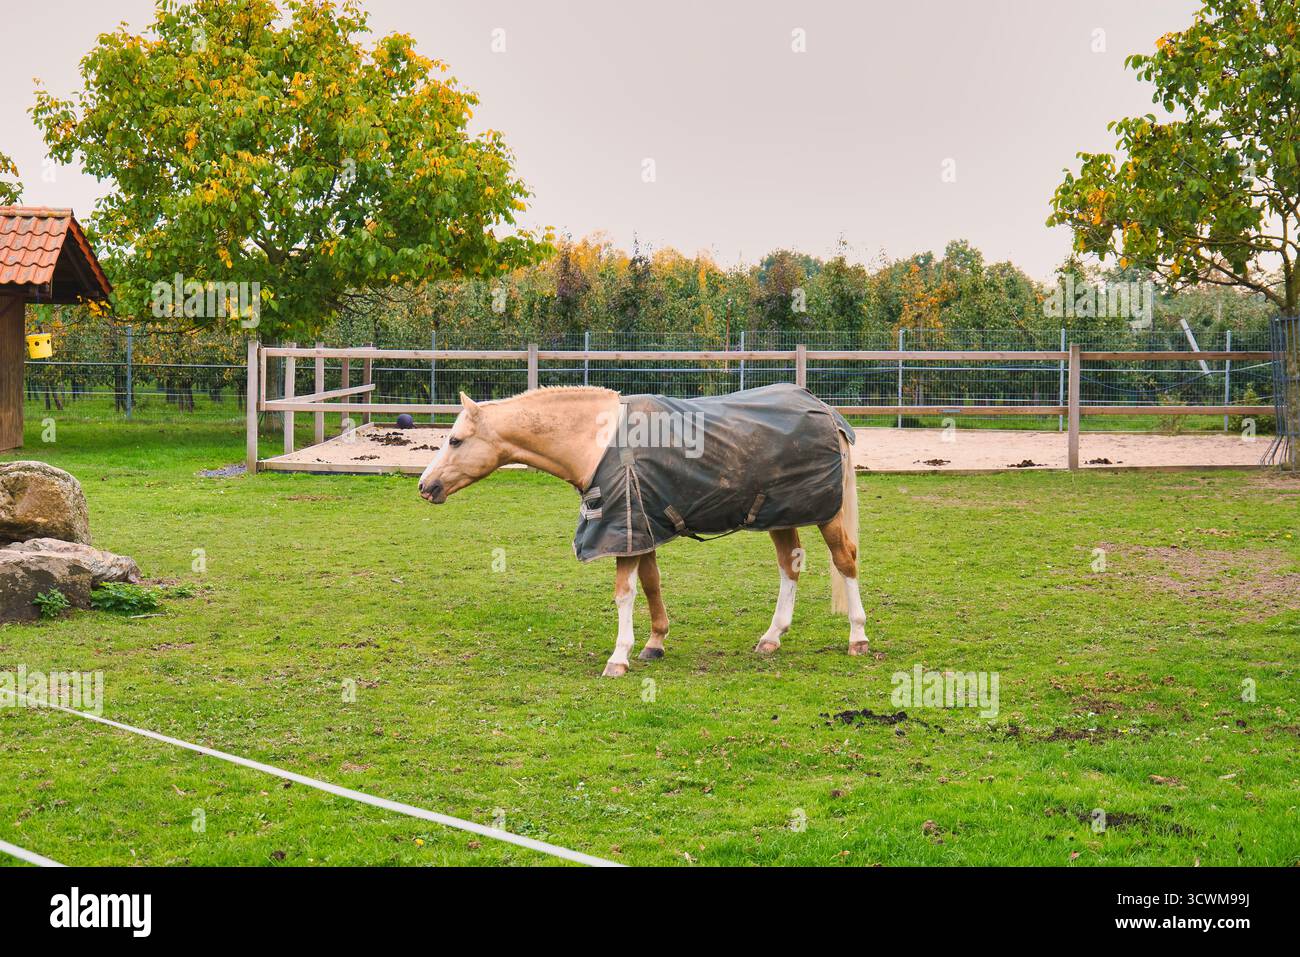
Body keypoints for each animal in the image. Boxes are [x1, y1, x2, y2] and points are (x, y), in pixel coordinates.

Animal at [418, 385, 868, 677]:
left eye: (455, 441)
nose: (425, 485)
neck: (596, 443)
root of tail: (826, 412)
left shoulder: (624, 531)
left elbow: (624, 594)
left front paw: (619, 657)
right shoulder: (641, 530)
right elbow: (651, 584)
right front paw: (655, 643)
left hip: (826, 516)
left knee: (845, 561)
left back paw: (857, 637)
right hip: (780, 515)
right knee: (789, 567)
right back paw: (772, 637)